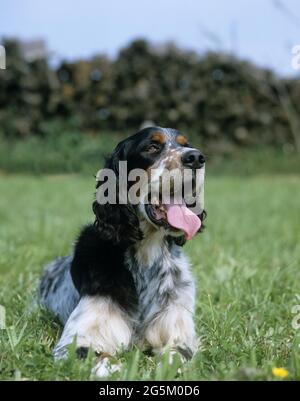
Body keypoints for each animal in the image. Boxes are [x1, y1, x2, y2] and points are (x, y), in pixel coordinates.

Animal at [38, 127, 205, 376]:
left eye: (187, 144)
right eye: (152, 147)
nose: (195, 157)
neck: (147, 254)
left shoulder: (179, 334)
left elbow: (175, 356)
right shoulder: (74, 343)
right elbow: (107, 361)